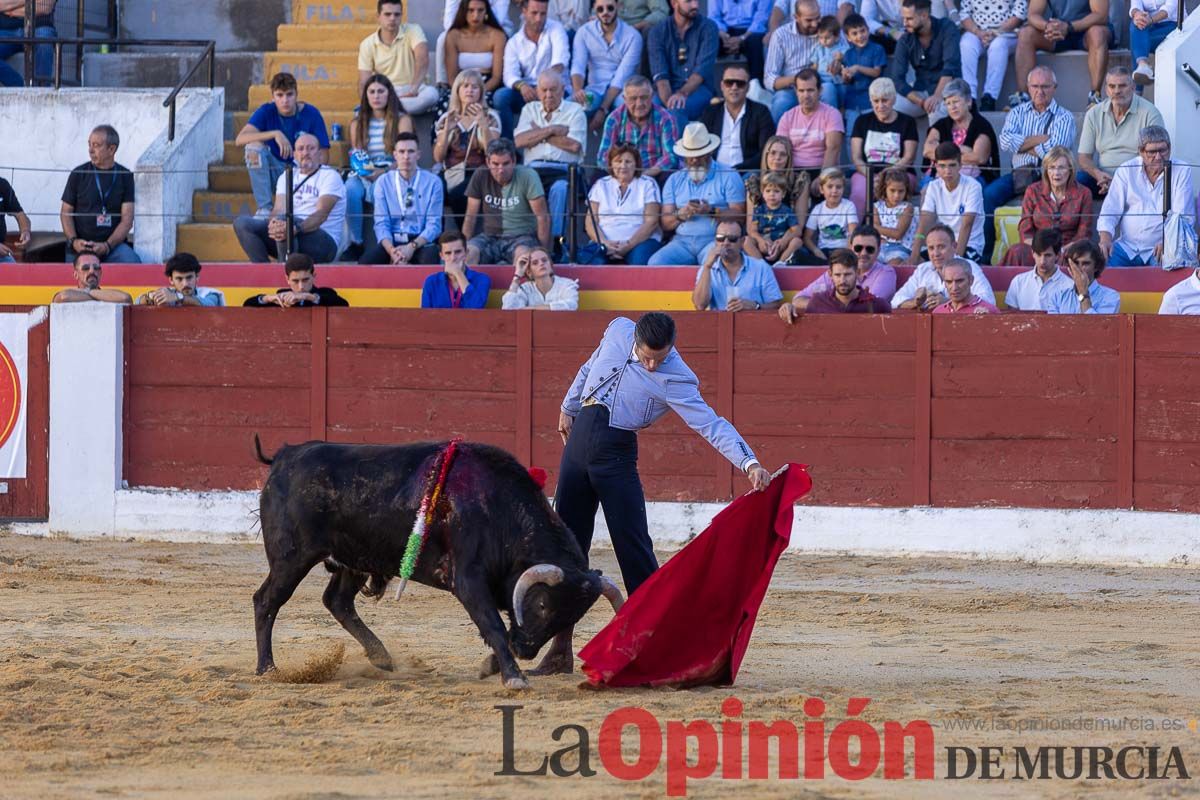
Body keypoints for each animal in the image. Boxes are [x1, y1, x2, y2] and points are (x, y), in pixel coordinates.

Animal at [254, 438, 628, 690]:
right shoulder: (467, 579)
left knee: (337, 601)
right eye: (541, 605)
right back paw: (267, 668)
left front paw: (493, 666)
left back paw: (381, 658)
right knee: (267, 601)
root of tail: (286, 455)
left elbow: (499, 629)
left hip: (354, 558)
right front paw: (513, 677)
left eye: (570, 617)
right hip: (292, 557)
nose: (525, 651)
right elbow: (494, 625)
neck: (499, 511)